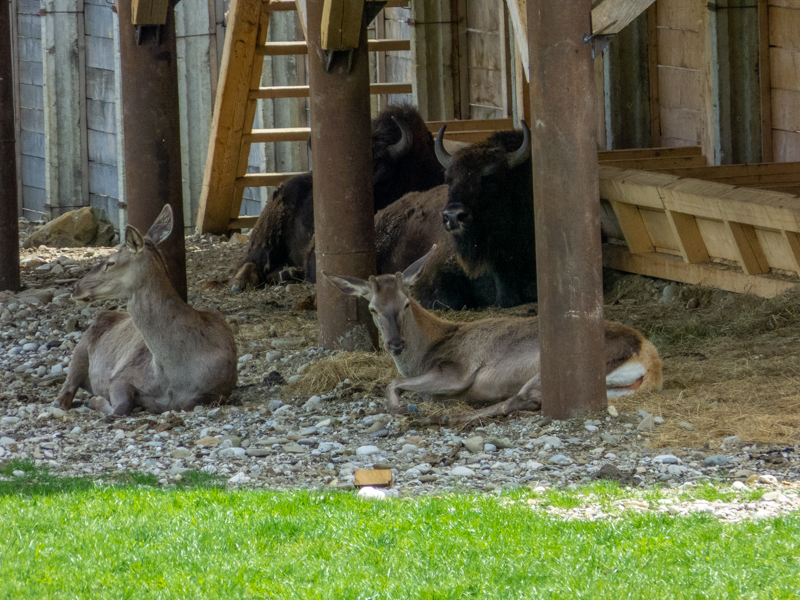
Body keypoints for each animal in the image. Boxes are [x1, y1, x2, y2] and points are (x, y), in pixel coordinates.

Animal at [57, 205, 238, 415]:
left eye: (110, 262)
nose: (75, 287)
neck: (176, 374)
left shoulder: (219, 390)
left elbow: (186, 403)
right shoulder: (121, 375)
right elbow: (121, 406)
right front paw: (95, 400)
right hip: (80, 349)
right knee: (66, 389)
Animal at [324, 247, 662, 424]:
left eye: (407, 302)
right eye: (372, 308)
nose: (395, 343)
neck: (426, 352)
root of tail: (650, 359)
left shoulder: (457, 371)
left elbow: (394, 384)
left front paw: (403, 409)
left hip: (561, 366)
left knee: (522, 399)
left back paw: (448, 418)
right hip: (616, 389)